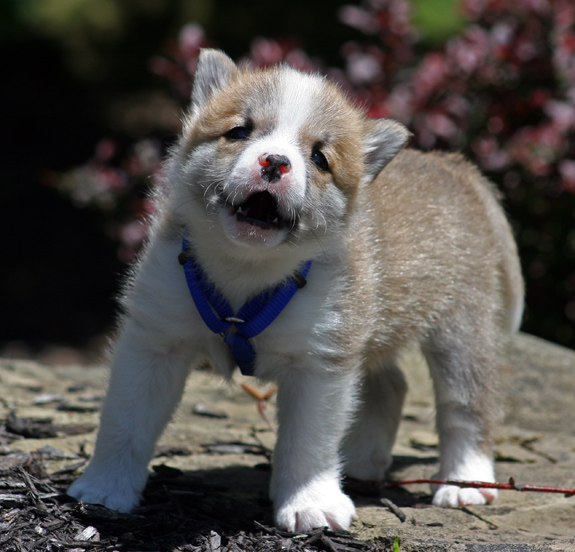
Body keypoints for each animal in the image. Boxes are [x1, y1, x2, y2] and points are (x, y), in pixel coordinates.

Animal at [70, 49, 524, 532]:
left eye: (320, 157)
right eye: (239, 131)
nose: (275, 162)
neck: (247, 271)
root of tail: (455, 168)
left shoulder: (320, 361)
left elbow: (308, 441)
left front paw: (310, 503)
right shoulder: (154, 340)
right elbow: (126, 421)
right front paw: (106, 488)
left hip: (463, 329)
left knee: (467, 404)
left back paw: (466, 483)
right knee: (390, 386)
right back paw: (359, 463)